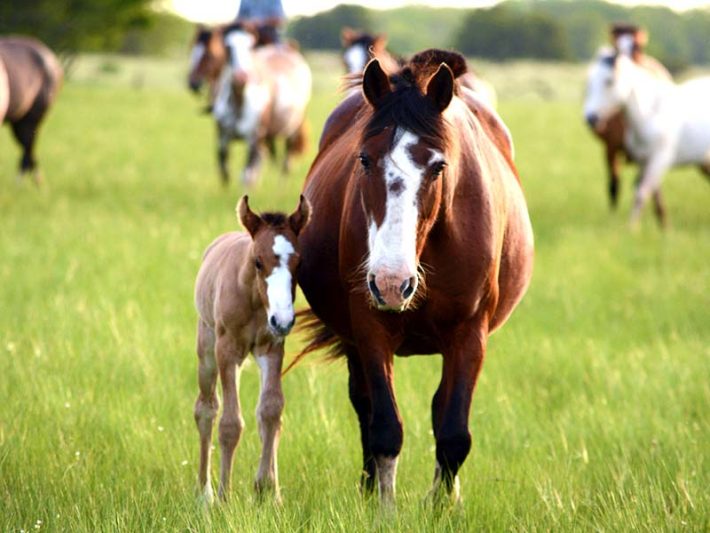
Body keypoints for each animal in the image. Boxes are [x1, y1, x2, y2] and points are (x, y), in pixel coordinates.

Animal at [192, 193, 312, 500]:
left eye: (299, 262)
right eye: (258, 261)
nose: (283, 319)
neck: (255, 300)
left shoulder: (272, 349)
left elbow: (270, 411)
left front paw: (269, 491)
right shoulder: (227, 352)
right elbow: (230, 423)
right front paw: (224, 496)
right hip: (207, 349)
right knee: (206, 408)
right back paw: (205, 493)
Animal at [211, 23, 312, 188]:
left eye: (250, 46)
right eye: (227, 47)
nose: (242, 76)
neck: (239, 102)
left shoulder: (254, 138)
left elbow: (246, 174)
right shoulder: (222, 137)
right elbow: (224, 169)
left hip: (292, 129)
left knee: (286, 162)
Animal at [290, 48, 536, 502]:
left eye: (438, 167)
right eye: (364, 159)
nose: (392, 283)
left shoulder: (470, 334)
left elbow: (453, 433)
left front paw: (441, 506)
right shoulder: (369, 328)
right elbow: (385, 427)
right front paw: (382, 505)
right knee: (364, 405)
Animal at [588, 45, 710, 227]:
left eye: (609, 81)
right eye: (589, 82)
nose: (590, 118)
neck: (650, 114)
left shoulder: (660, 159)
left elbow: (642, 193)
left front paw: (631, 228)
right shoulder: (643, 162)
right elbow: (646, 193)